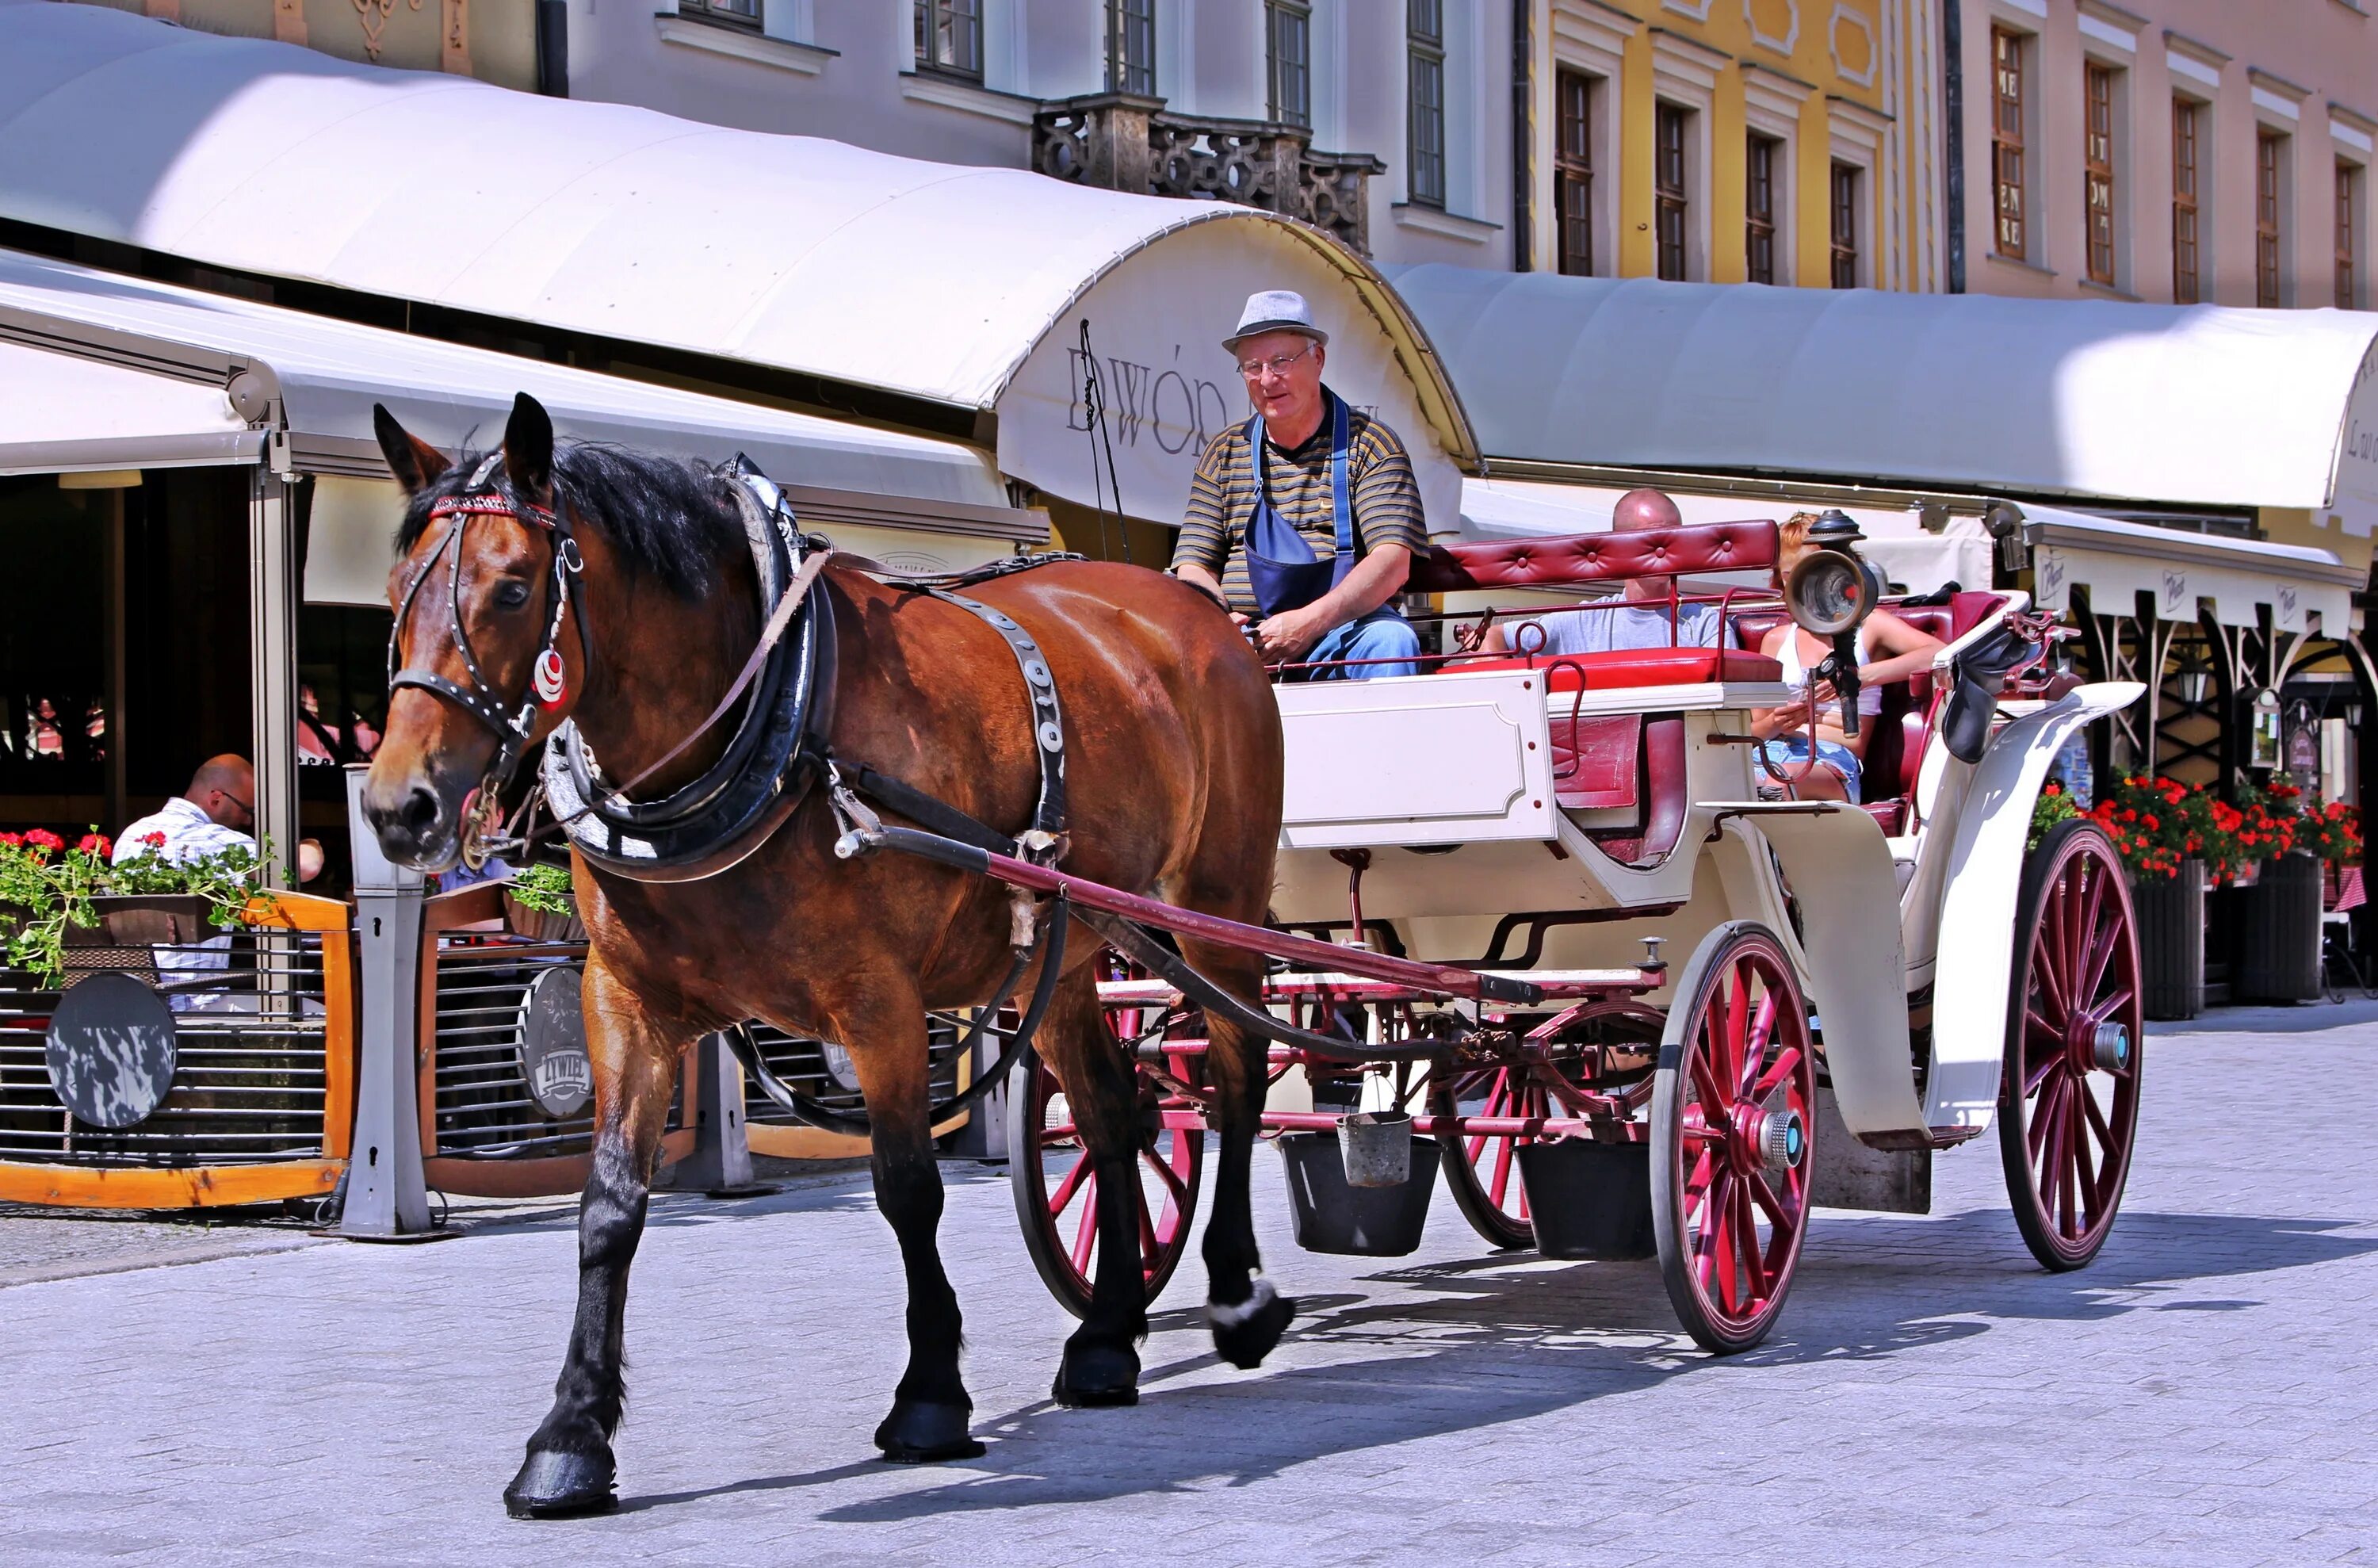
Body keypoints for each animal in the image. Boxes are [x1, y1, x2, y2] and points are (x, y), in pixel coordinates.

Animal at [361, 395, 1303, 1522]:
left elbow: (906, 1186)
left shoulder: (879, 1002)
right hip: (1069, 949)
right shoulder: (625, 1001)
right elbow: (608, 1205)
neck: (772, 723)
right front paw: (571, 1436)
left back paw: (1239, 1293)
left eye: (511, 587)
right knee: (1118, 1119)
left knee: (1238, 1082)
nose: (398, 806)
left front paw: (931, 1395)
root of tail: (1194, 609)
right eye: (395, 592)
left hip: (1216, 913)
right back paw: (1110, 1335)